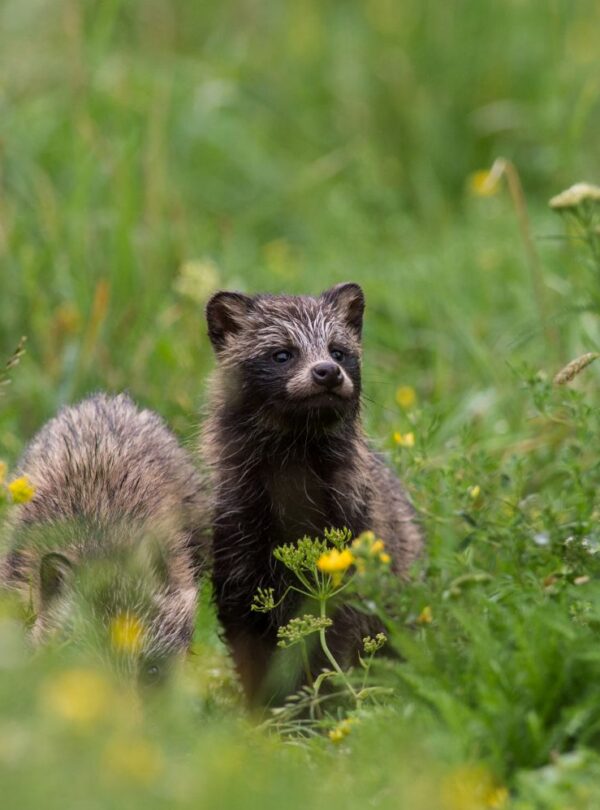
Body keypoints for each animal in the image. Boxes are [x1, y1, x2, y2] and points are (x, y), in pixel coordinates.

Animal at [202, 282, 423, 701]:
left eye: (338, 351)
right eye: (281, 353)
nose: (327, 372)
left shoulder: (352, 539)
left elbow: (330, 645)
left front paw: (321, 704)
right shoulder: (235, 559)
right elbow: (249, 654)